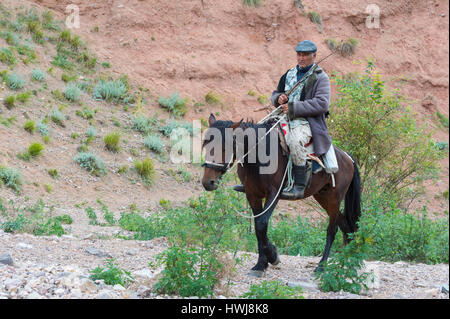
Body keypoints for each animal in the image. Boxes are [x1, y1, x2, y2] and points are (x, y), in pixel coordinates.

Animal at [201, 114, 362, 276]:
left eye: (225, 148)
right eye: (205, 146)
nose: (208, 182)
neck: (259, 157)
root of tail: (347, 157)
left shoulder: (274, 194)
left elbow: (261, 224)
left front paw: (273, 256)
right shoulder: (252, 195)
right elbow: (258, 227)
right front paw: (260, 264)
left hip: (335, 198)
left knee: (333, 229)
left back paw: (322, 266)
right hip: (322, 196)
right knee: (345, 225)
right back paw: (349, 261)